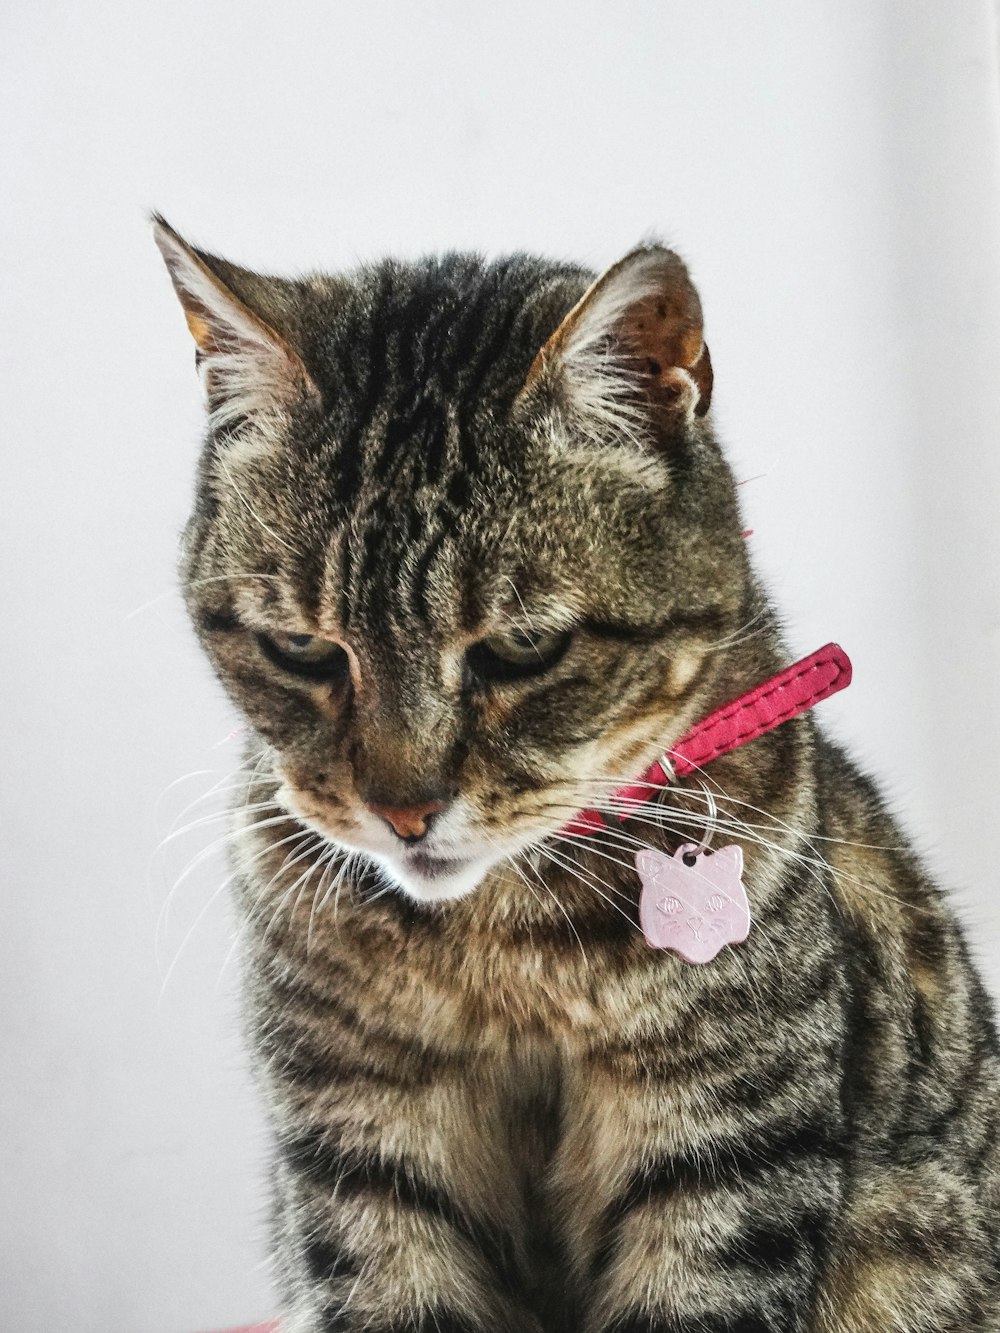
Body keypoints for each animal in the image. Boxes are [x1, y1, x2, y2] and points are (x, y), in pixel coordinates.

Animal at [154, 218, 1000, 1333]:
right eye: (302, 648)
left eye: (521, 648)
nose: (401, 809)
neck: (501, 954)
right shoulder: (362, 1154)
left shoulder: (726, 1165)